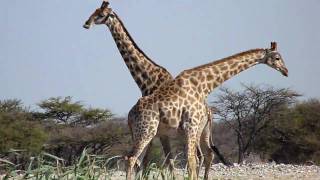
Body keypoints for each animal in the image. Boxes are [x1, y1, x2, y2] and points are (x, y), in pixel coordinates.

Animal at [82, 0, 224, 174]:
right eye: (93, 11)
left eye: (101, 14)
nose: (86, 24)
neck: (147, 79)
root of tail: (209, 110)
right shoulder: (157, 131)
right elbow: (152, 161)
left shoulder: (156, 130)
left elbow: (155, 161)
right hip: (202, 131)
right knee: (207, 154)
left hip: (193, 131)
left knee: (200, 156)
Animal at [126, 41, 288, 179]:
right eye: (277, 57)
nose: (286, 71)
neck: (204, 86)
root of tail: (130, 115)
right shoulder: (190, 126)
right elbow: (192, 160)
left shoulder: (192, 129)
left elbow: (193, 160)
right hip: (146, 131)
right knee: (132, 158)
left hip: (146, 134)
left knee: (137, 160)